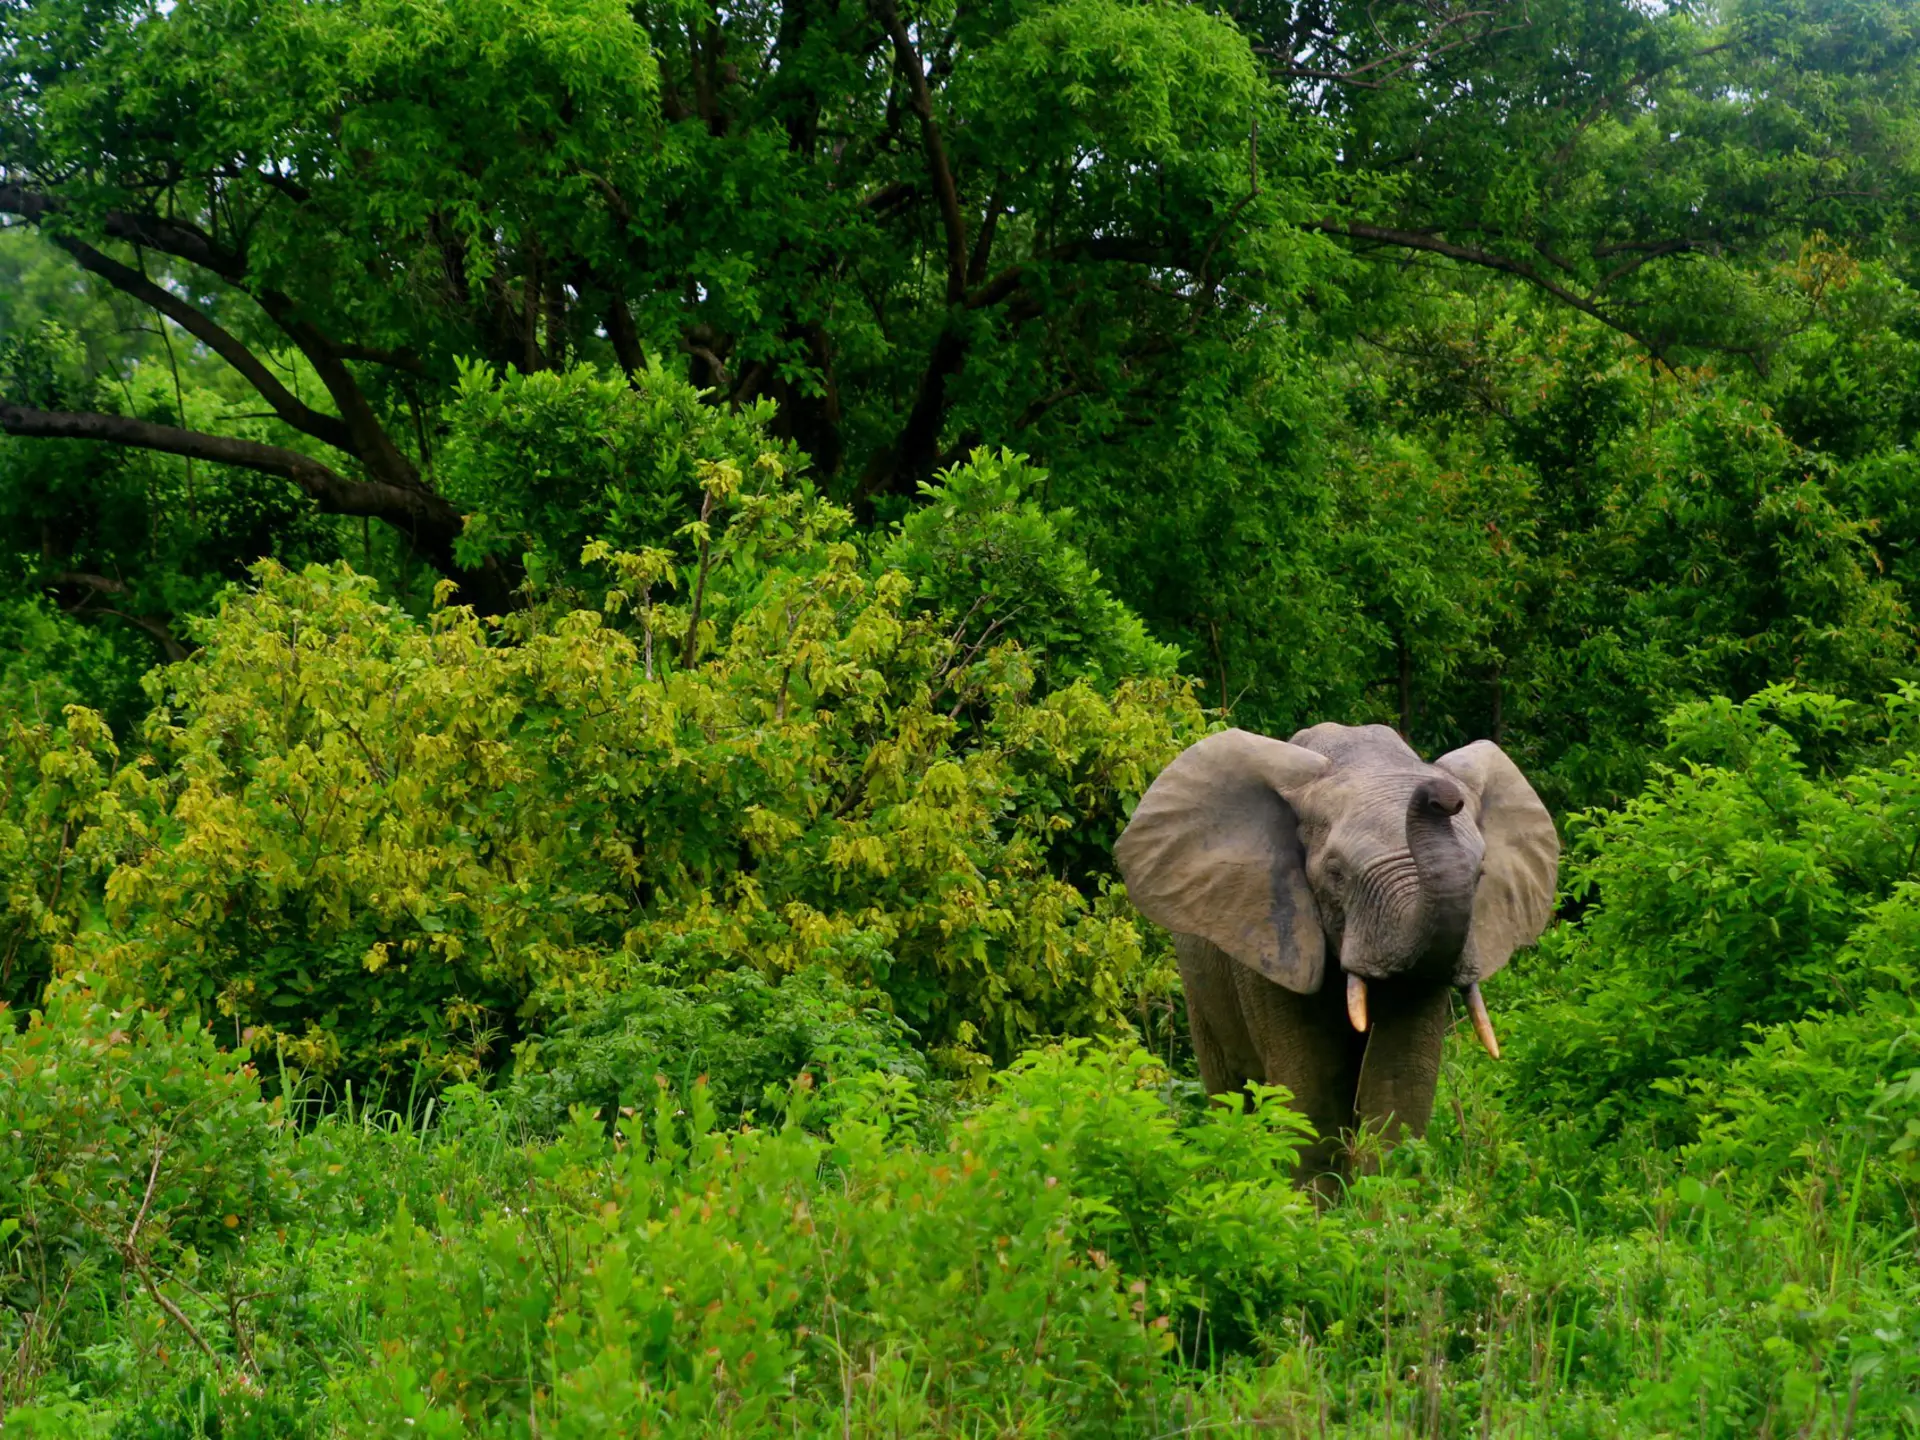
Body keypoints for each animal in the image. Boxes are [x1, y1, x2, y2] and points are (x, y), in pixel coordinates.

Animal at [1114, 723, 1558, 1185]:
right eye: (1336, 874)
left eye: (1480, 874)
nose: (1442, 796)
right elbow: (1313, 1092)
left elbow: (1398, 1084)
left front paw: (1385, 1202)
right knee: (1230, 1091)